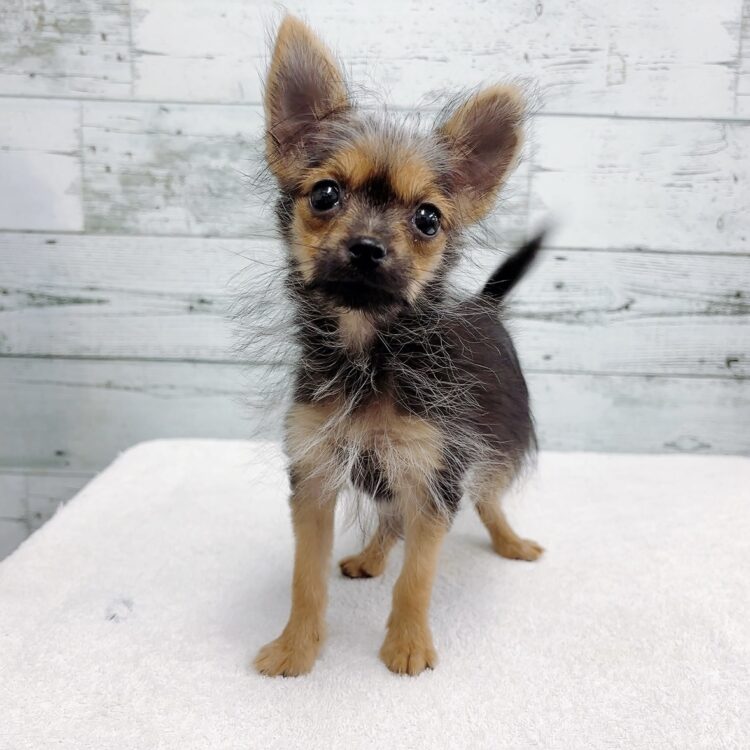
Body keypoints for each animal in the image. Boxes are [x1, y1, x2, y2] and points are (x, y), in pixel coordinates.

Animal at [254, 15, 544, 677]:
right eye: (325, 194)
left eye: (429, 219)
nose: (367, 248)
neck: (371, 350)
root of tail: (486, 305)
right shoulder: (316, 475)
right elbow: (305, 579)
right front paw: (296, 647)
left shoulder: (435, 473)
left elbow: (419, 575)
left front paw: (408, 644)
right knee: (390, 518)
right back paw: (370, 556)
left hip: (486, 451)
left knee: (488, 502)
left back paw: (510, 542)